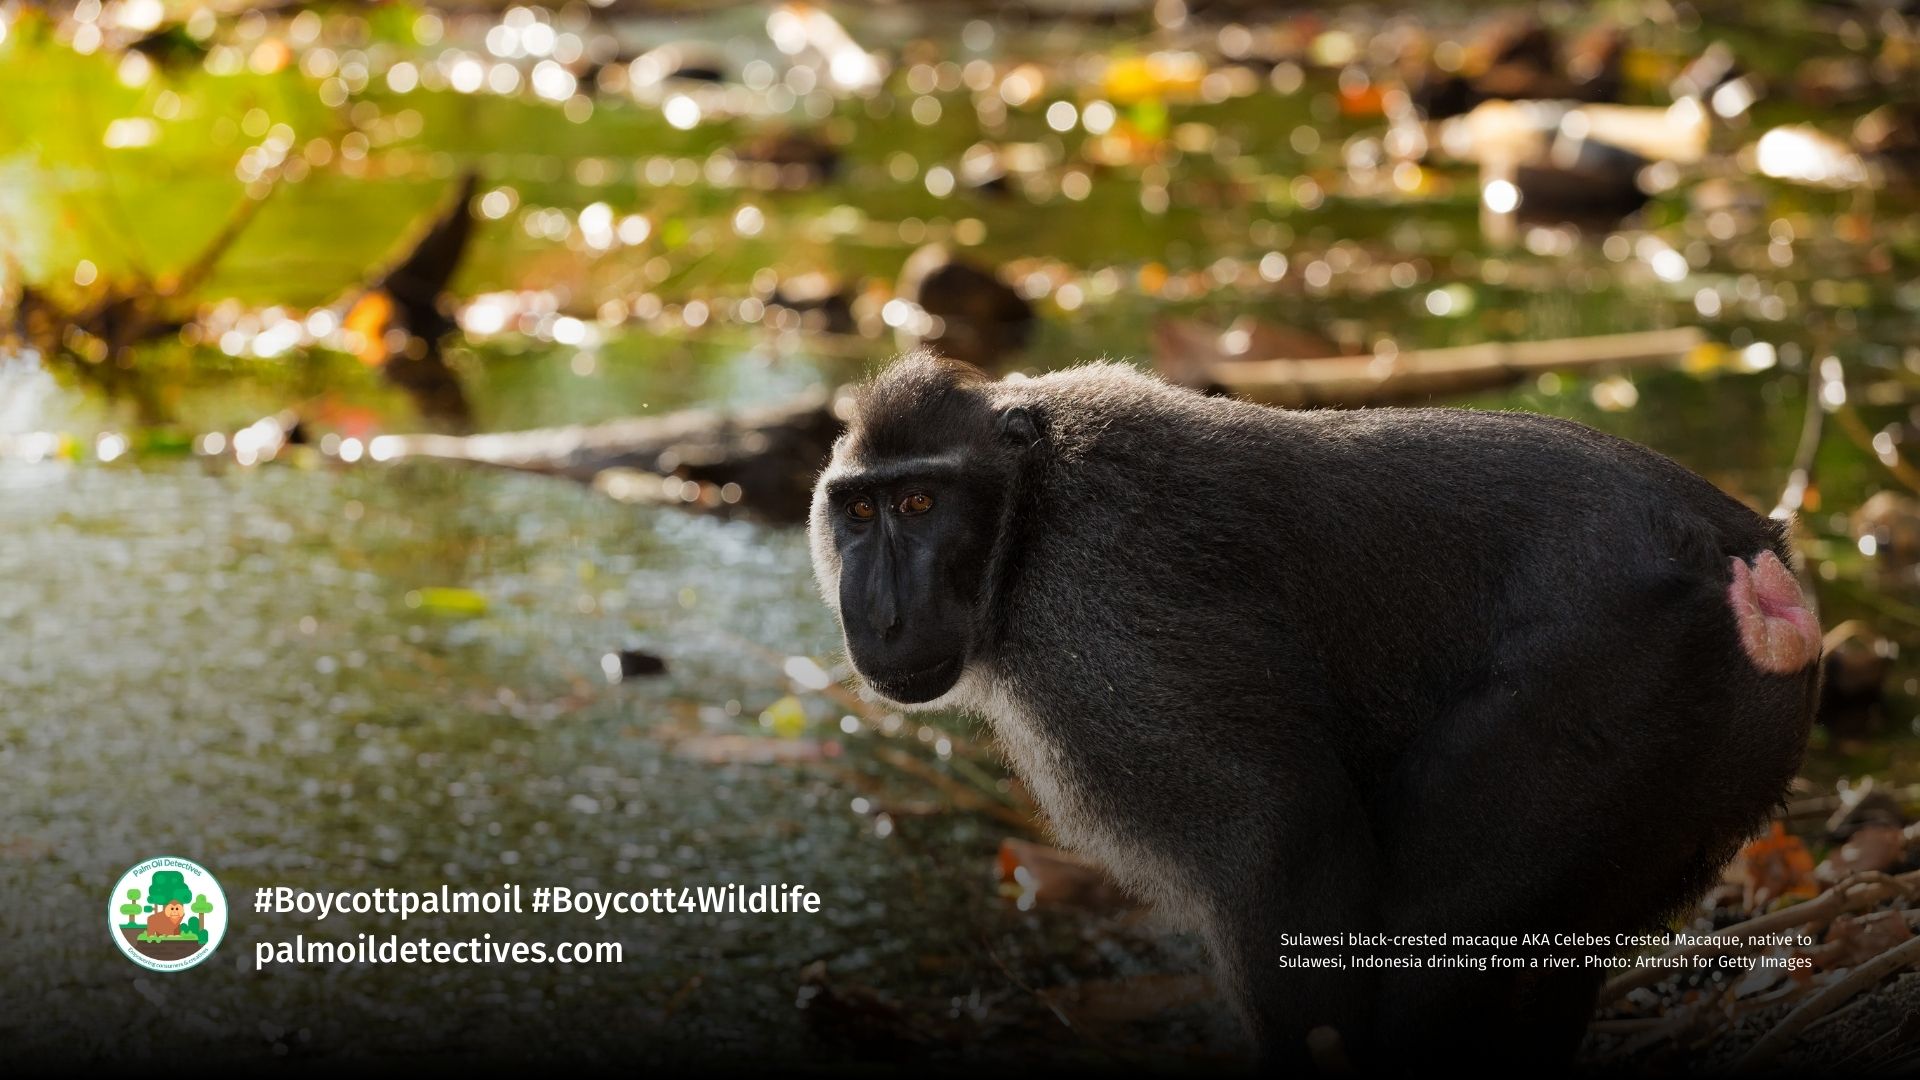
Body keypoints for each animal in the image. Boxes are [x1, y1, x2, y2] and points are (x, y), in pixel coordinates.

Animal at [807, 354, 1820, 1069]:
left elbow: (1281, 832)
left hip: (1615, 683)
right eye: (858, 512)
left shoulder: (1103, 602)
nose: (880, 609)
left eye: (919, 502)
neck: (1030, 509)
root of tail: (1741, 555)